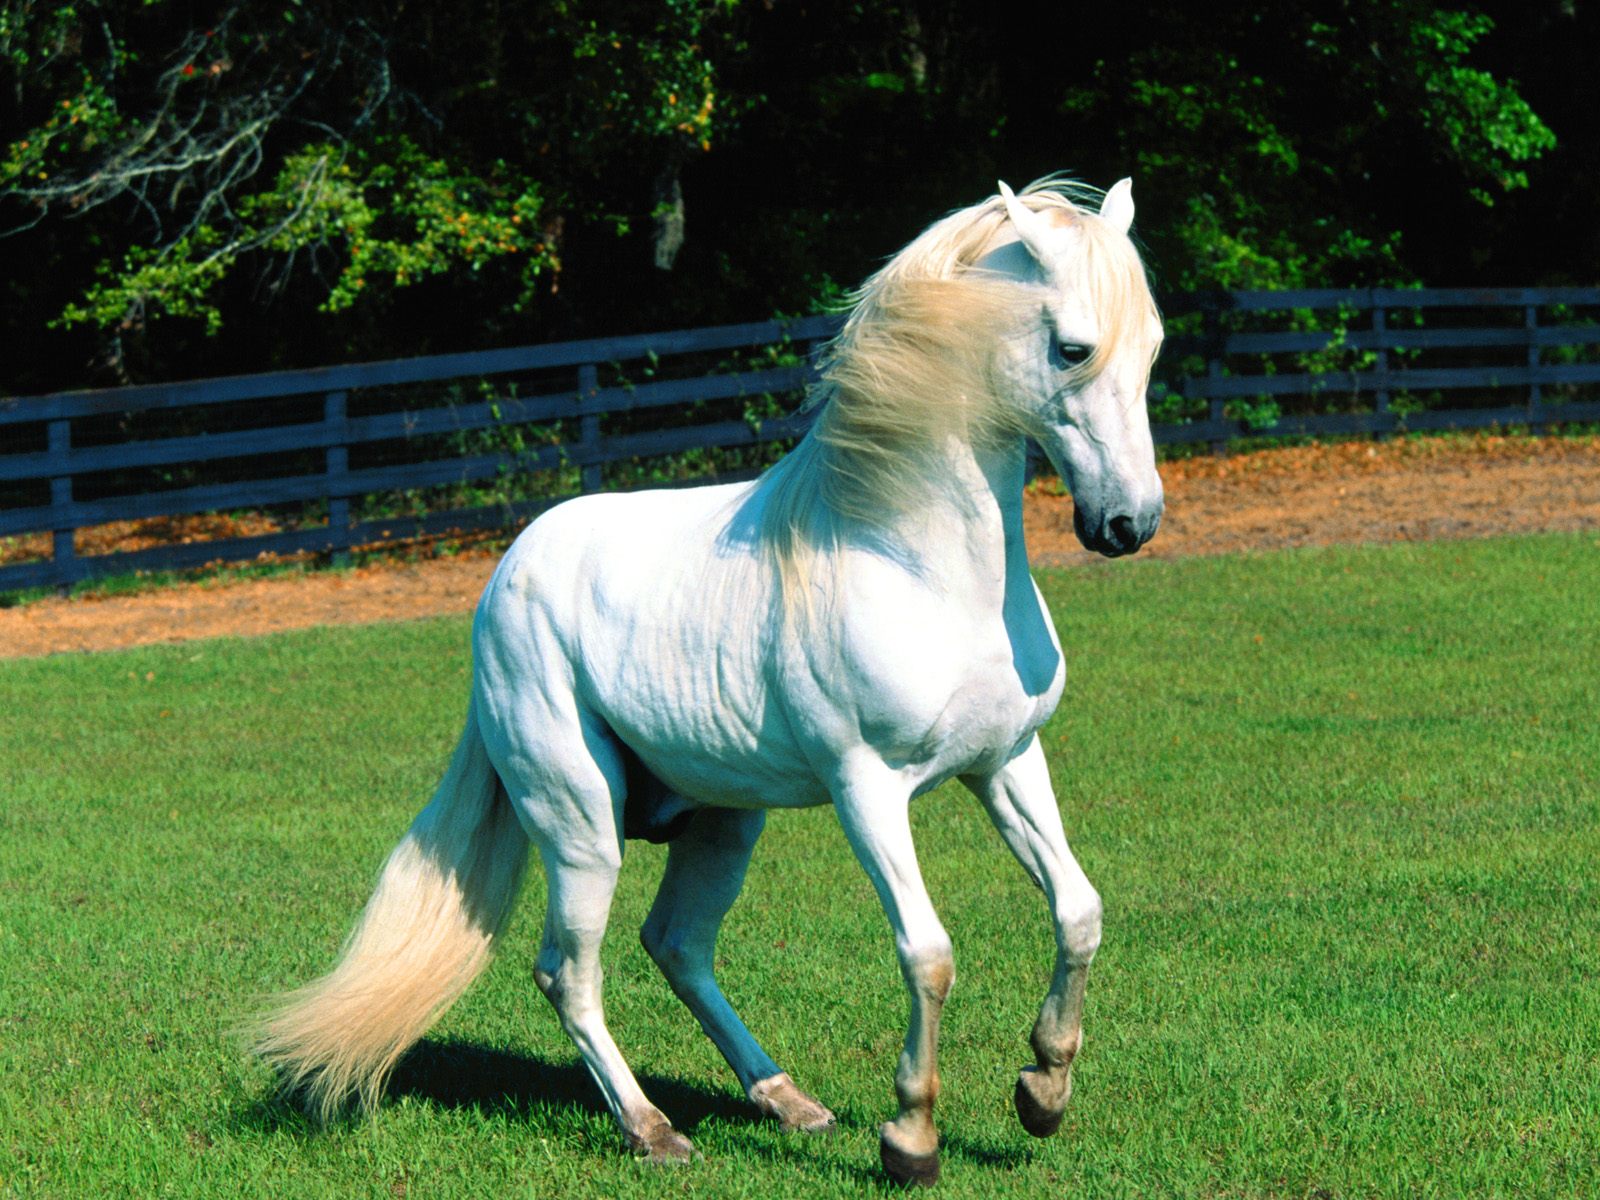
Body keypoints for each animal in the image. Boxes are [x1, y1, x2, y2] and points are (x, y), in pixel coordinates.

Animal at [254, 176, 1165, 1186]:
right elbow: (927, 953)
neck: (917, 565)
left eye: (1154, 344)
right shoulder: (868, 789)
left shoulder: (1004, 761)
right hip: (580, 825)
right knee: (568, 971)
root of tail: (506, 576)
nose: (1128, 525)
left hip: (725, 822)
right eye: (1072, 347)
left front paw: (1042, 1093)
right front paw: (911, 1140)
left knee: (677, 945)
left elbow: (1078, 912)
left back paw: (788, 1102)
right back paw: (652, 1130)